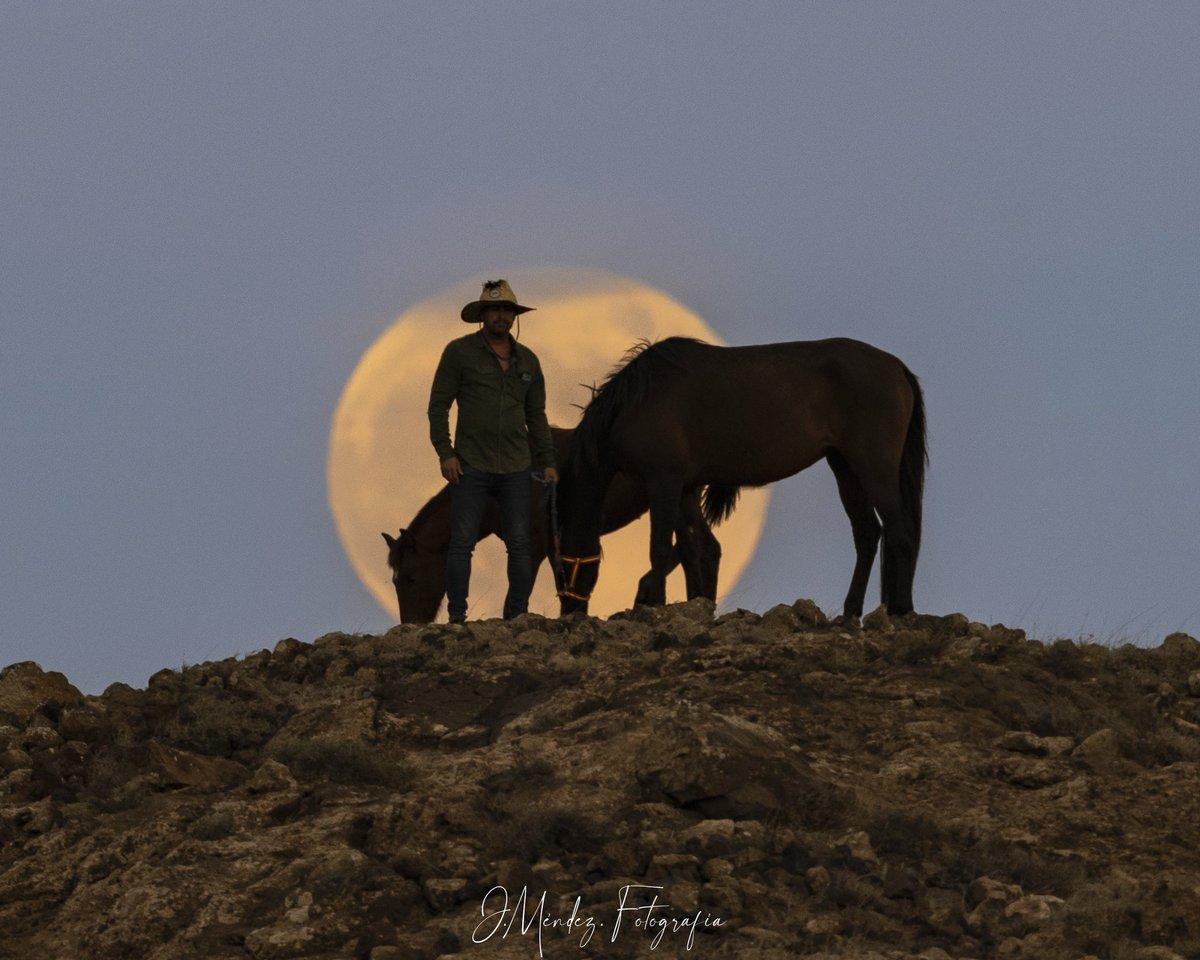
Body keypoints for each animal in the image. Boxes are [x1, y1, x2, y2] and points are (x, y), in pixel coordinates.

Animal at [382, 426, 726, 623]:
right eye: (395, 581)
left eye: (410, 577)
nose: (409, 624)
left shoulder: (536, 544)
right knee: (705, 549)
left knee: (696, 548)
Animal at [552, 337, 927, 619]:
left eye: (565, 561)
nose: (569, 610)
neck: (637, 401)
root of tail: (897, 367)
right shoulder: (686, 487)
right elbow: (691, 550)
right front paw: (693, 605)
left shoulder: (663, 481)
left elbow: (659, 547)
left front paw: (655, 603)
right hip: (845, 468)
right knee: (867, 534)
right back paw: (850, 614)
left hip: (874, 468)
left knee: (900, 533)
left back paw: (901, 610)